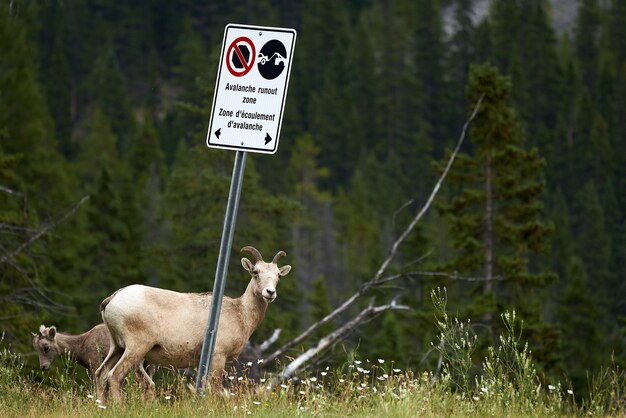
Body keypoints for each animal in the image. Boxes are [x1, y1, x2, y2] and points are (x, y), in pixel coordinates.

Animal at [95, 247, 290, 404]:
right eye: (255, 272)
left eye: (278, 276)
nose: (270, 292)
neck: (240, 313)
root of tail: (112, 299)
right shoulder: (218, 356)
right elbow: (215, 388)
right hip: (136, 348)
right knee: (114, 376)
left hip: (117, 347)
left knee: (101, 374)